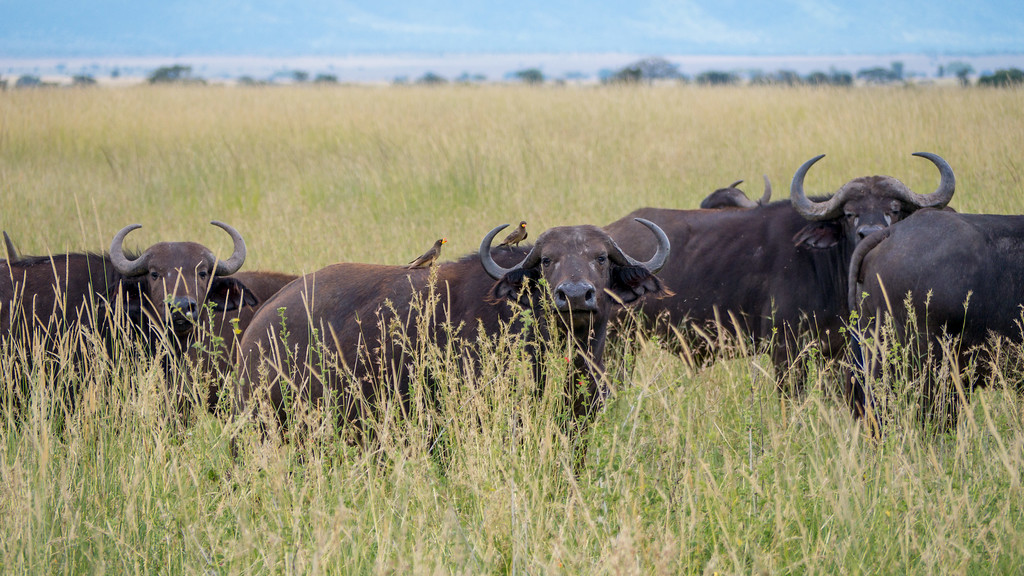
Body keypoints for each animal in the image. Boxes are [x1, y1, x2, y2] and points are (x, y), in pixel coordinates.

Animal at [605, 153, 956, 394]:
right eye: (849, 213)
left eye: (894, 209)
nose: (868, 233)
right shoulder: (786, 350)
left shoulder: (837, 351)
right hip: (617, 342)